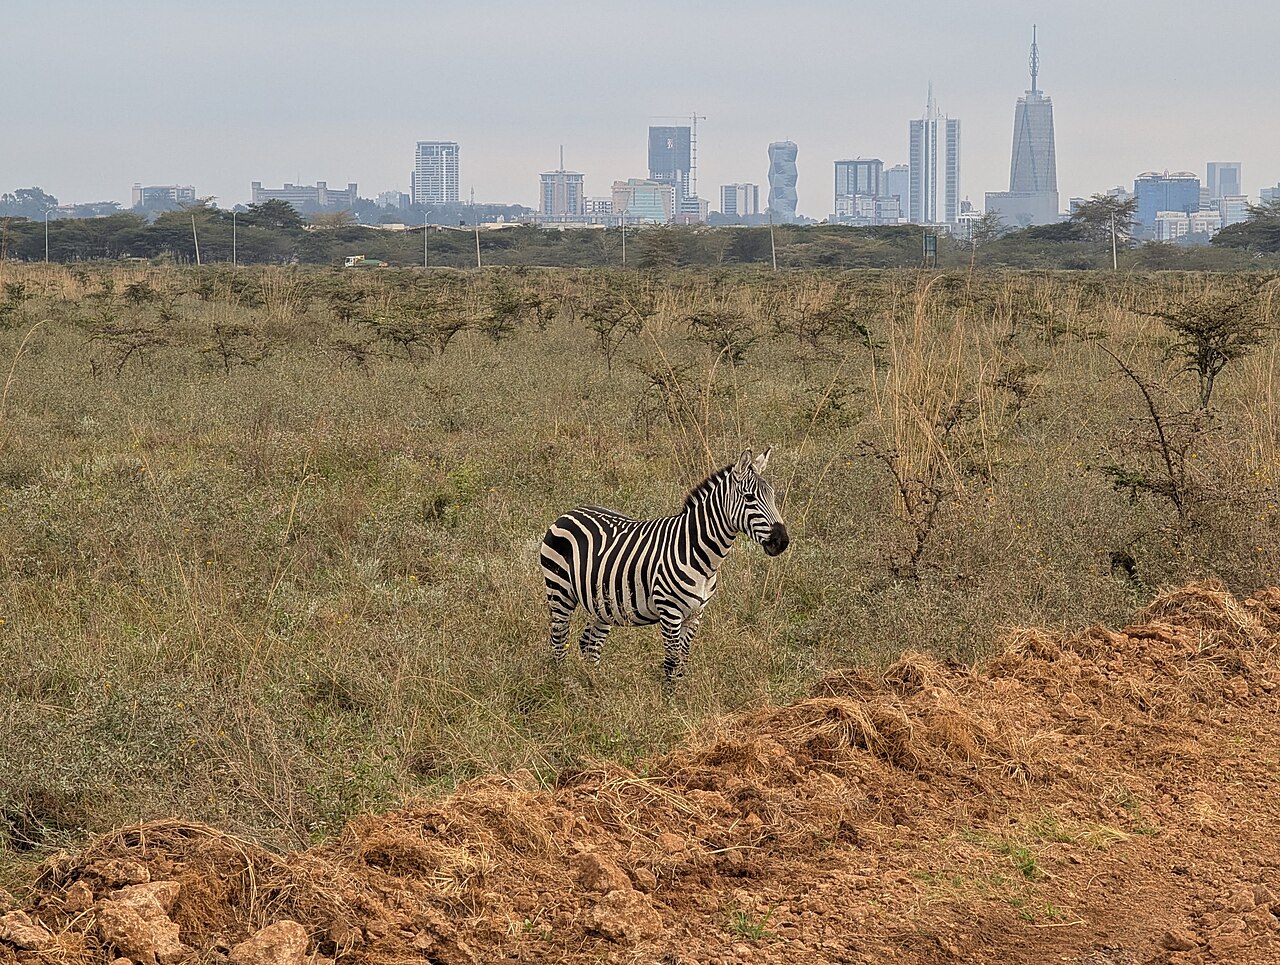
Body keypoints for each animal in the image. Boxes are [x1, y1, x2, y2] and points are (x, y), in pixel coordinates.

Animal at [539, 448, 789, 681]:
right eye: (749, 498)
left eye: (773, 496)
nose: (782, 541)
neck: (698, 553)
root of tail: (568, 513)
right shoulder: (670, 612)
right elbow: (672, 662)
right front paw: (670, 698)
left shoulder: (695, 615)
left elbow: (683, 662)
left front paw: (682, 696)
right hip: (560, 591)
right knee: (559, 640)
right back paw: (564, 685)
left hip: (603, 603)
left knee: (589, 644)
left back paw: (595, 686)